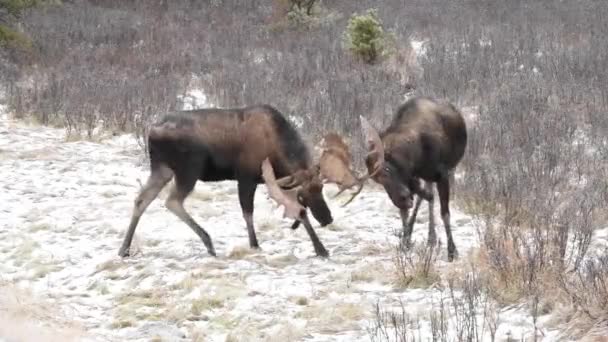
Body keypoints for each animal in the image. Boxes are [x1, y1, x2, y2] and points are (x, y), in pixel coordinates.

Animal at [117, 104, 358, 260]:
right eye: (302, 194)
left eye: (321, 188)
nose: (327, 218)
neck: (278, 147)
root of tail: (151, 131)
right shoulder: (246, 177)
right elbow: (249, 212)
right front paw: (256, 244)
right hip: (188, 169)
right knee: (172, 201)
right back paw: (208, 242)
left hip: (162, 168)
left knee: (142, 199)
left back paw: (124, 249)